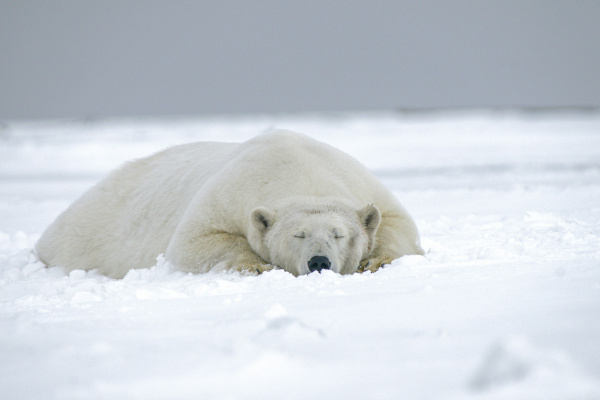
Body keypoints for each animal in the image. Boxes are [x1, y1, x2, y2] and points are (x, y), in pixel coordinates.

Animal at [35, 131, 424, 278]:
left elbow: (398, 224)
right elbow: (194, 243)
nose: (319, 262)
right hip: (85, 233)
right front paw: (255, 266)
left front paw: (376, 260)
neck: (299, 169)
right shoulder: (231, 191)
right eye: (297, 235)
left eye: (338, 234)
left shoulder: (359, 182)